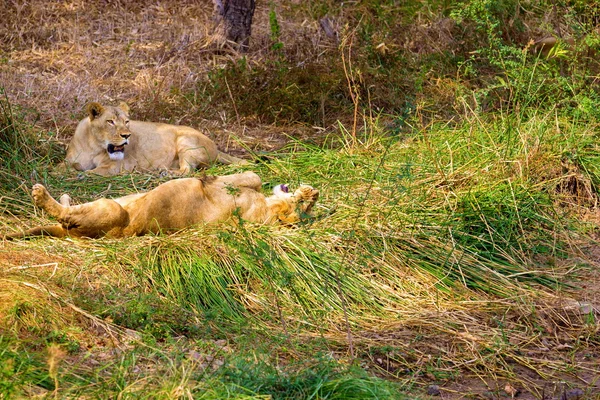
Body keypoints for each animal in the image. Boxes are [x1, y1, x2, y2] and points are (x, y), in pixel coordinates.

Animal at [65, 101, 244, 175]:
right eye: (110, 122)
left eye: (126, 122)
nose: (127, 135)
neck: (93, 146)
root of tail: (217, 147)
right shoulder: (68, 161)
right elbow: (61, 168)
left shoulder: (119, 165)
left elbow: (94, 172)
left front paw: (80, 174)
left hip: (186, 141)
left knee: (187, 170)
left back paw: (164, 172)